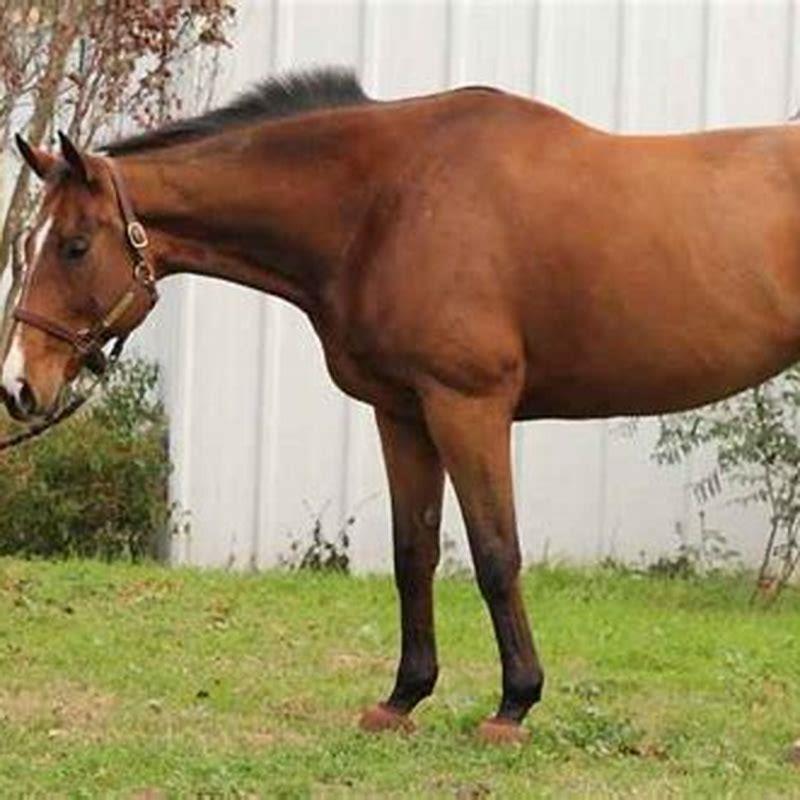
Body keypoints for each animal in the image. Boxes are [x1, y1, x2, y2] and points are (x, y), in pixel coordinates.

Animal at [4, 67, 800, 744]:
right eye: (30, 241)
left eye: (74, 246)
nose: (19, 387)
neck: (388, 201)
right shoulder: (403, 413)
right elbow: (411, 553)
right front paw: (403, 698)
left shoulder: (467, 406)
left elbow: (494, 554)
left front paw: (513, 706)